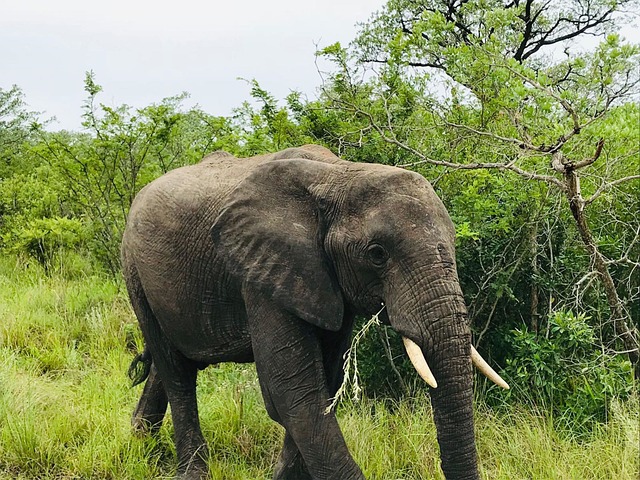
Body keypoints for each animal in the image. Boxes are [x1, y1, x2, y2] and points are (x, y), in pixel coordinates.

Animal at [122, 144, 508, 480]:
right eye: (377, 254)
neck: (339, 175)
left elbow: (324, 386)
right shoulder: (265, 271)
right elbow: (292, 393)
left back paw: (140, 439)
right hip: (134, 269)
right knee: (176, 371)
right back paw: (189, 470)